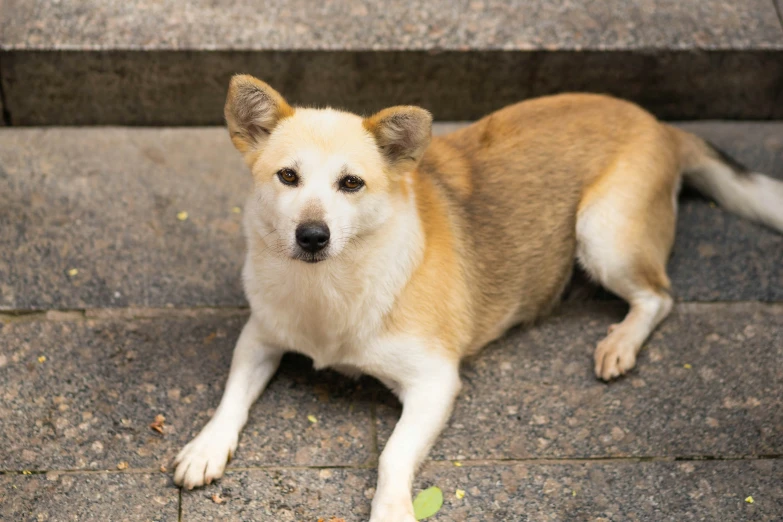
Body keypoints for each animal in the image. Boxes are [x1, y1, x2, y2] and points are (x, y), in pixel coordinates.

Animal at [173, 75, 783, 516]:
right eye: (287, 177)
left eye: (351, 183)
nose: (312, 236)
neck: (330, 287)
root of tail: (661, 125)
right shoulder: (260, 335)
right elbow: (231, 398)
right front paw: (206, 446)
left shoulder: (434, 383)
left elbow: (392, 456)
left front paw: (391, 509)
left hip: (602, 232)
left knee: (658, 296)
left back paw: (621, 343)